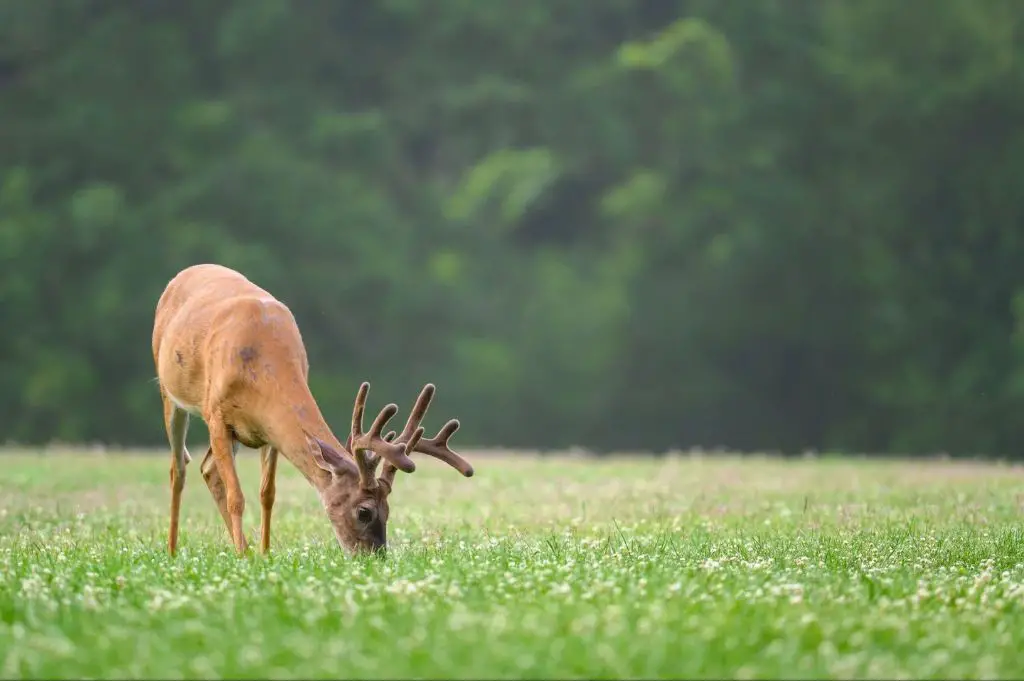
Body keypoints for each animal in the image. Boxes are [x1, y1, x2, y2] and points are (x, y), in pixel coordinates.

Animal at [151, 262, 475, 557]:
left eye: (388, 510)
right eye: (364, 511)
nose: (375, 556)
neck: (259, 366)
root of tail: (184, 273)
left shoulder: (269, 430)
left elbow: (267, 493)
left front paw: (264, 554)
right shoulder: (217, 415)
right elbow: (237, 497)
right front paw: (244, 556)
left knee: (207, 468)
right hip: (170, 393)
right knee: (178, 469)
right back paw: (173, 550)